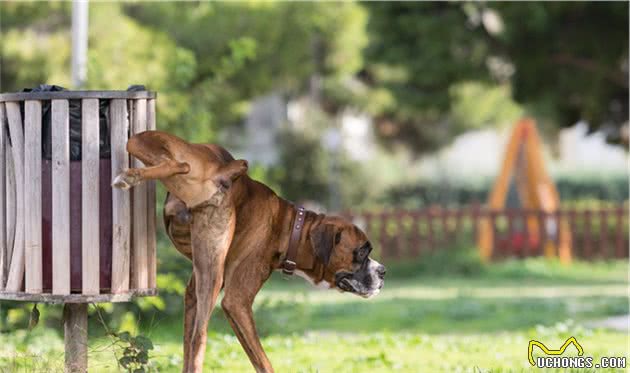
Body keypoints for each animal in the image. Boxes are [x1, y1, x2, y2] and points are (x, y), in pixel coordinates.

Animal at [115, 131, 390, 372]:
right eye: (362, 252)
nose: (383, 271)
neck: (289, 227)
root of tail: (223, 171)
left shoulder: (193, 293)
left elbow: (186, 348)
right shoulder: (237, 302)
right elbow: (262, 362)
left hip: (142, 143)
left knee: (176, 162)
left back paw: (132, 176)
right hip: (213, 277)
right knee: (200, 338)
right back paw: (128, 177)